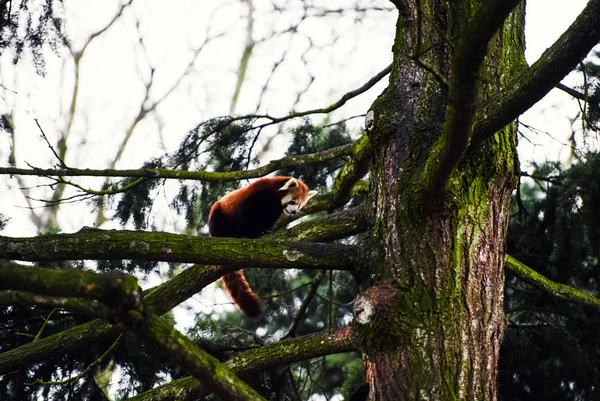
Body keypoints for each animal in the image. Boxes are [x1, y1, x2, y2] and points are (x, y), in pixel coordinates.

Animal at [207, 177, 316, 318]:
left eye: (299, 205)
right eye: (293, 201)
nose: (293, 212)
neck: (273, 197)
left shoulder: (273, 212)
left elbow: (266, 222)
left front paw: (263, 232)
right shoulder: (255, 196)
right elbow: (247, 216)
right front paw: (248, 234)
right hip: (220, 212)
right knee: (219, 225)